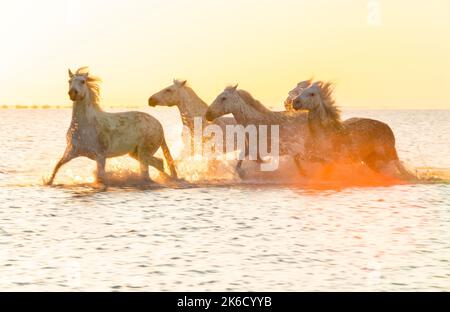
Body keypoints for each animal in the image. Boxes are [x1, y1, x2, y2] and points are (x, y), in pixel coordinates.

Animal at [46, 67, 178, 185]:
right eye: (69, 81)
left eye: (82, 81)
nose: (72, 93)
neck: (85, 125)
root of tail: (158, 124)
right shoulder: (72, 152)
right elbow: (57, 166)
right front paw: (47, 182)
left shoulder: (100, 156)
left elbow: (100, 177)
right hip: (135, 153)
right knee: (159, 163)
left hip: (143, 152)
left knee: (150, 170)